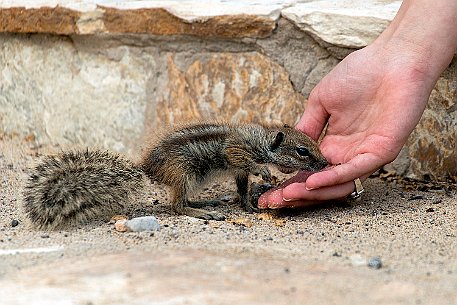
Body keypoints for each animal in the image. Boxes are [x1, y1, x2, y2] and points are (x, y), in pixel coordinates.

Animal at [23, 121, 326, 228]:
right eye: (302, 151)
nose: (325, 163)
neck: (261, 141)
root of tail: (147, 168)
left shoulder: (238, 172)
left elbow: (241, 188)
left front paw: (249, 205)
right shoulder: (237, 151)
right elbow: (243, 161)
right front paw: (264, 172)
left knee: (183, 201)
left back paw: (205, 202)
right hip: (183, 174)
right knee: (177, 206)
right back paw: (203, 212)